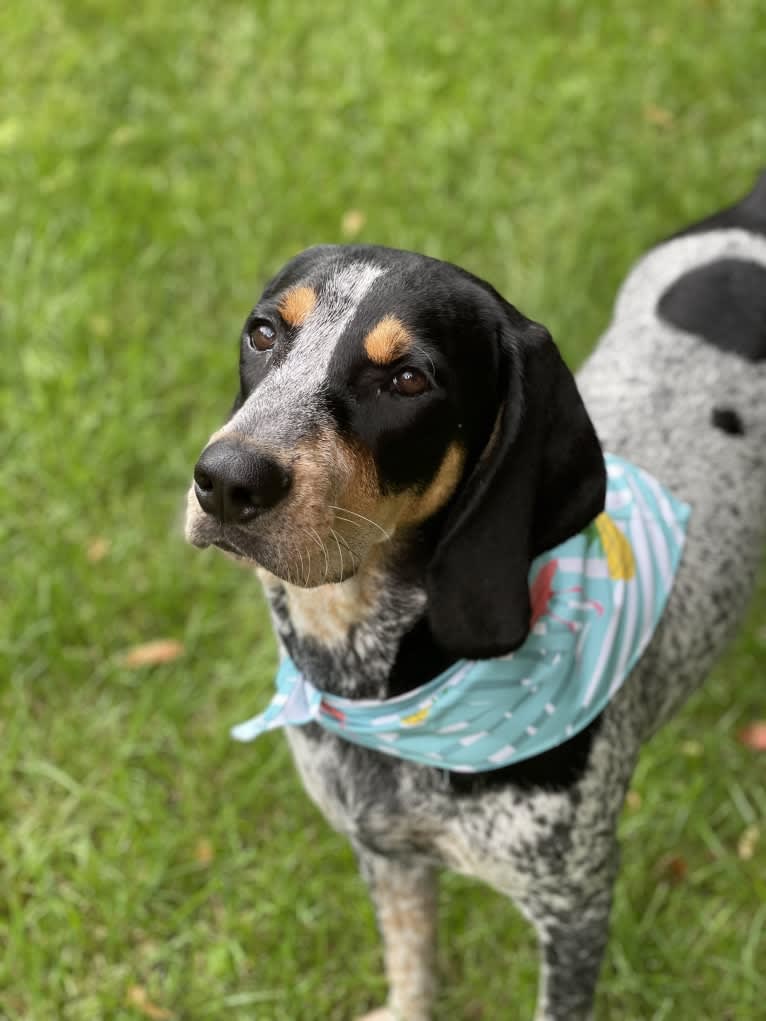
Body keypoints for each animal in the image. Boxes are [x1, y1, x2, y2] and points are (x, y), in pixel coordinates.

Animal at [185, 177, 766, 1021]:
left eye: (408, 379)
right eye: (263, 333)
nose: (227, 479)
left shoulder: (575, 903)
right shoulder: (384, 851)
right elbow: (411, 958)